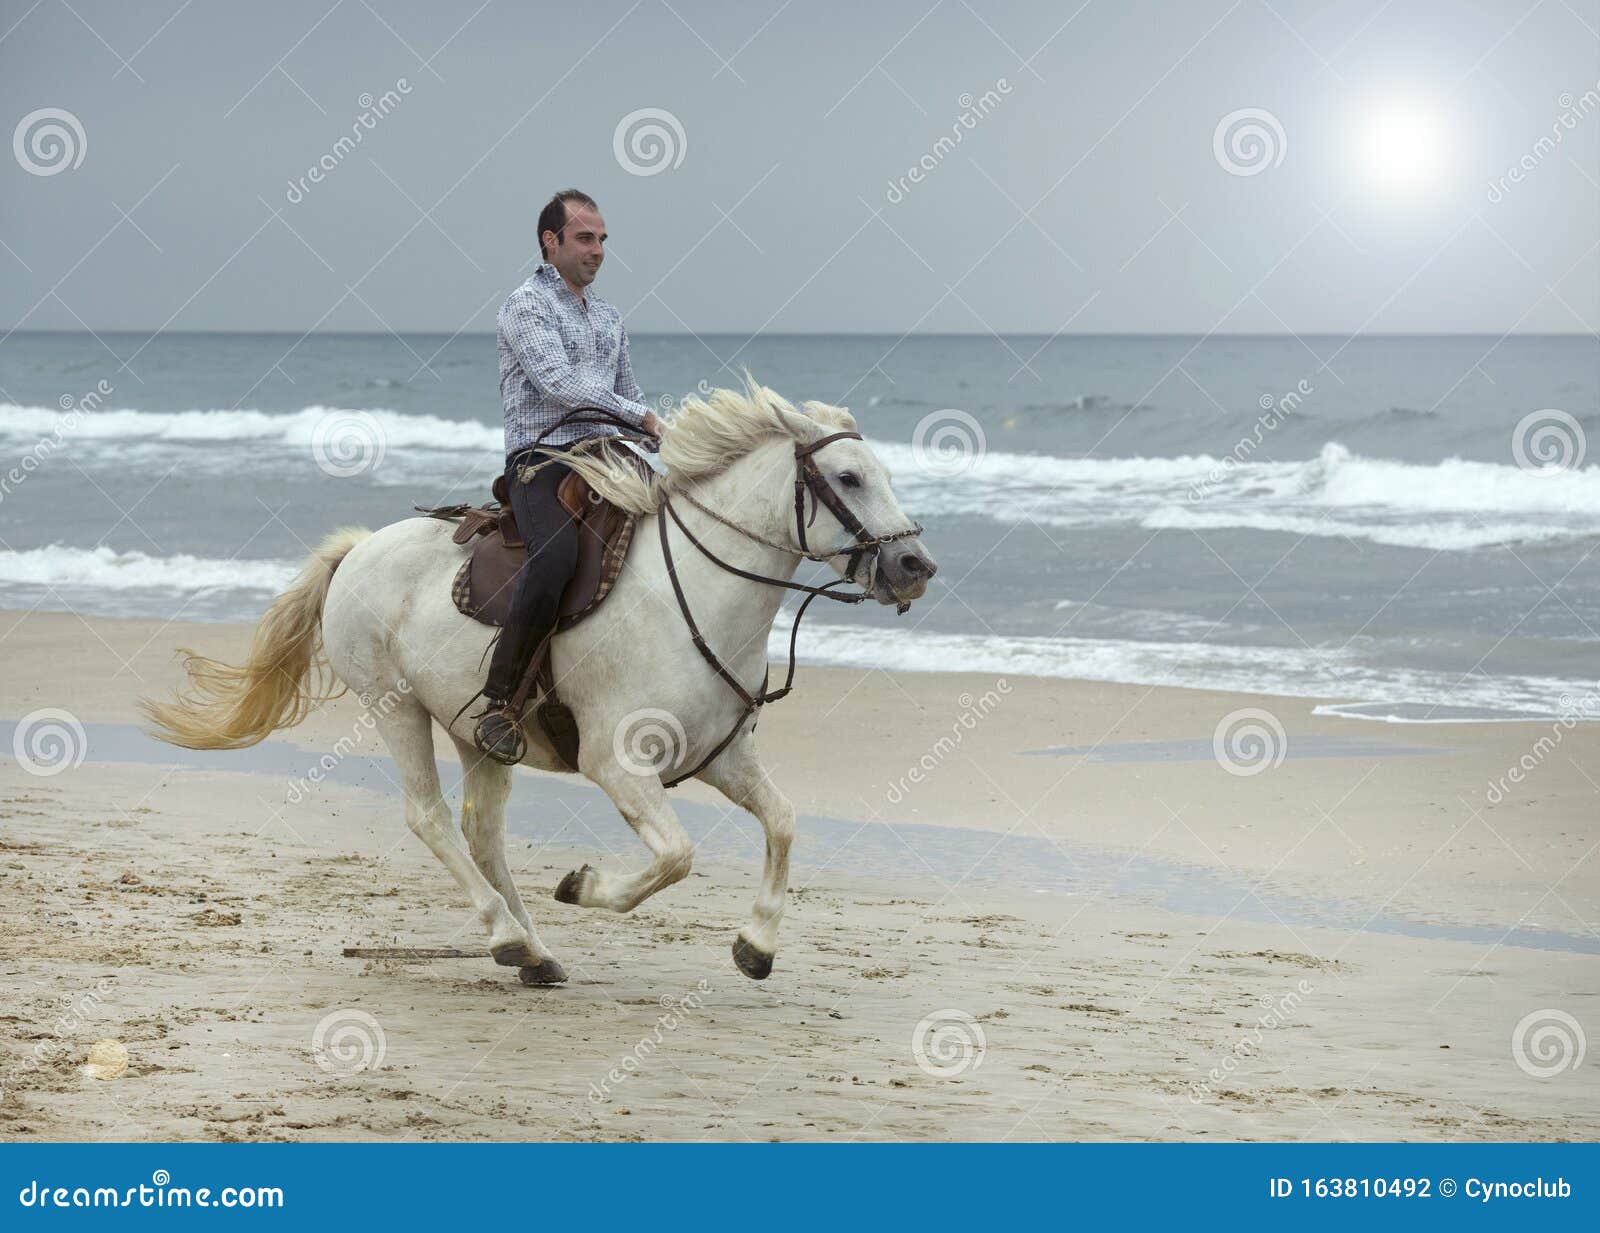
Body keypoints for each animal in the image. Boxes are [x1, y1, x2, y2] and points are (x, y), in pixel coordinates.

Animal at [141, 383, 938, 985]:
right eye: (849, 477)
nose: (915, 566)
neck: (695, 597)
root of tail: (359, 549)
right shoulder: (617, 763)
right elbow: (676, 856)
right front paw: (582, 887)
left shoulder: (724, 758)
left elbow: (783, 822)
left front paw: (756, 945)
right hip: (395, 707)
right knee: (431, 819)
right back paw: (506, 935)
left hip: (477, 729)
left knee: (481, 832)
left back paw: (534, 952)